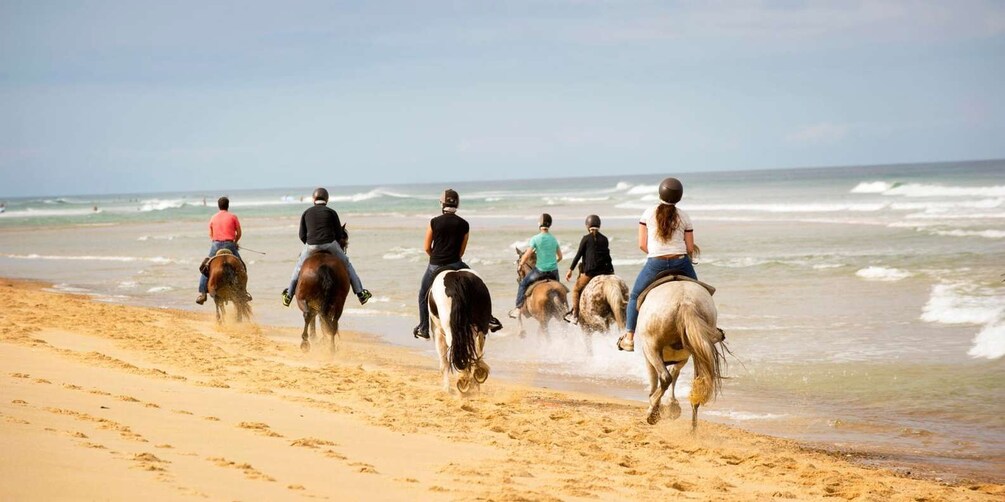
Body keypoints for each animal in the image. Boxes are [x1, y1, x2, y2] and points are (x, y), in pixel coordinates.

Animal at [293, 225, 349, 355]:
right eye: (345, 242)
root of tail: (324, 266)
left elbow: (315, 317)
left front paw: (314, 337)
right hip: (338, 302)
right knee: (332, 323)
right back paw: (330, 347)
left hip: (303, 298)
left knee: (309, 315)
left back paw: (306, 343)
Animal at [639, 281, 727, 429]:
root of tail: (686, 302)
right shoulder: (682, 359)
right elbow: (674, 373)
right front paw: (671, 405)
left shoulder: (649, 355)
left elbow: (657, 380)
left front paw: (658, 408)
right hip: (698, 351)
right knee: (697, 388)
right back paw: (692, 429)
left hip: (651, 346)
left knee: (665, 378)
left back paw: (652, 411)